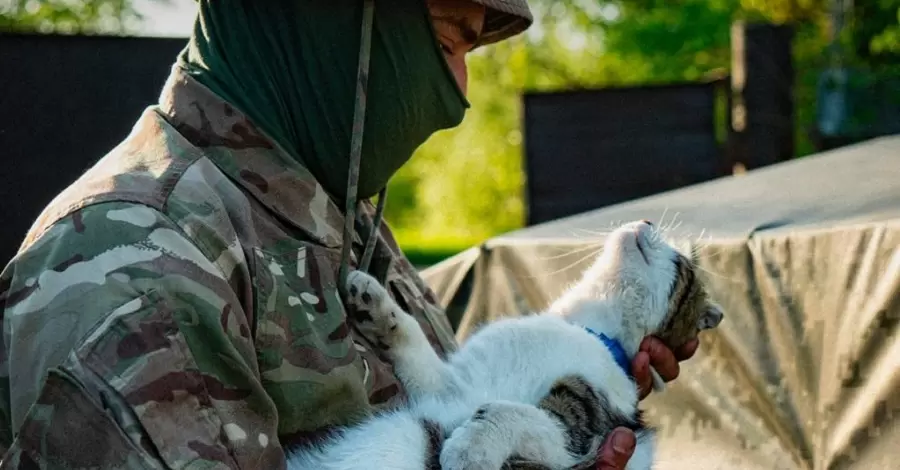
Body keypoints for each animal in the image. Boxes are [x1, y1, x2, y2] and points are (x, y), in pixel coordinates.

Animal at [286, 220, 724, 470]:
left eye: (682, 263)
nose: (645, 218)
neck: (583, 327)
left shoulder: (581, 432)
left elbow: (508, 412)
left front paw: (469, 449)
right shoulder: (447, 386)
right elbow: (414, 345)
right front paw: (376, 305)